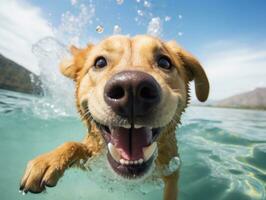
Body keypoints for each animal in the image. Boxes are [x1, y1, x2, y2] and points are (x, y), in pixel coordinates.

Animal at [19, 35, 210, 199]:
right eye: (100, 62)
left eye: (165, 62)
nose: (132, 87)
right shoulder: (93, 160)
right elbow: (74, 145)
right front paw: (49, 160)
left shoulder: (172, 170)